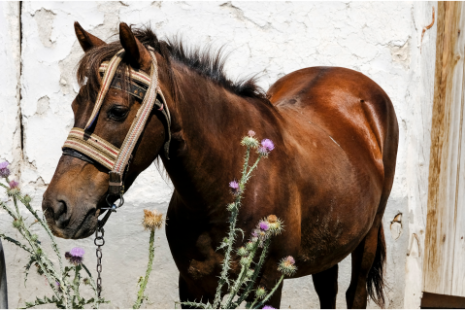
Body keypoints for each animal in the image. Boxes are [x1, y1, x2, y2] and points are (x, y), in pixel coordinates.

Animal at [41, 22, 396, 310]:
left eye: (117, 110)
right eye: (74, 106)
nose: (57, 207)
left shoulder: (266, 287)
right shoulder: (193, 286)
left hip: (367, 237)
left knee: (354, 293)